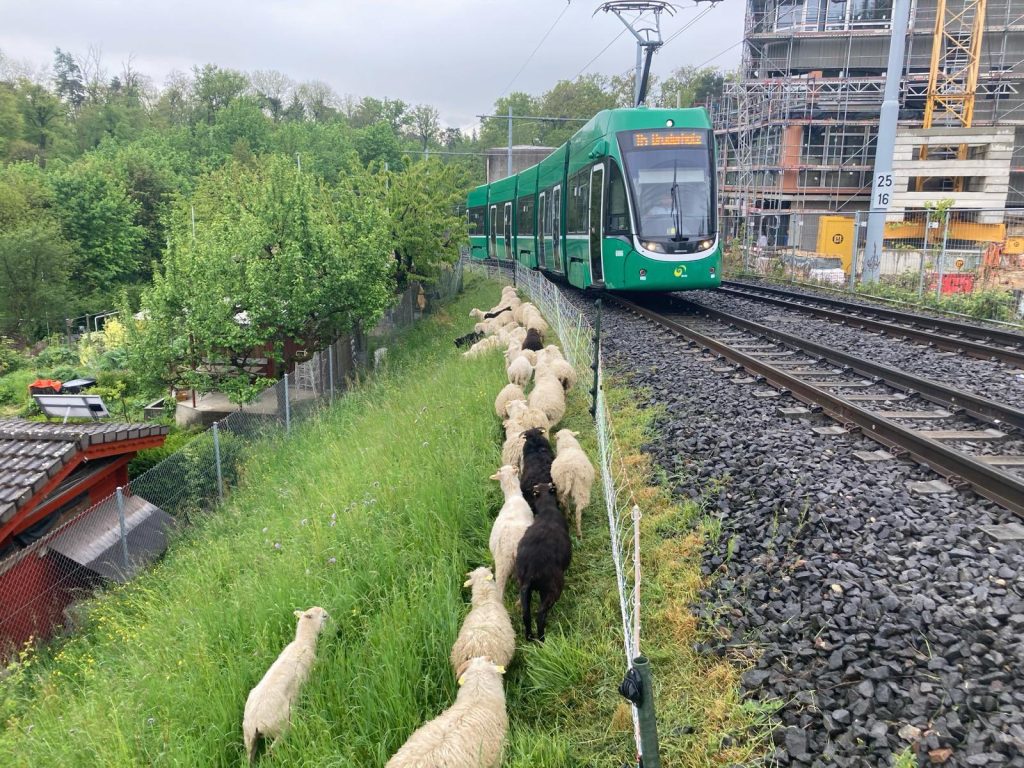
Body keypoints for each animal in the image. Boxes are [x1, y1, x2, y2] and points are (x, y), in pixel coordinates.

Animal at [240, 606, 327, 765]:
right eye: (325, 616)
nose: (337, 628)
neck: (303, 642)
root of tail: (255, 722)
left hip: (248, 738)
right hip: (282, 728)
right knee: (271, 752)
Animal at [516, 487, 573, 643]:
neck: (547, 508)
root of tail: (531, 571)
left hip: (525, 590)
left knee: (526, 614)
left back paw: (530, 638)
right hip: (552, 589)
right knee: (540, 615)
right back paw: (542, 640)